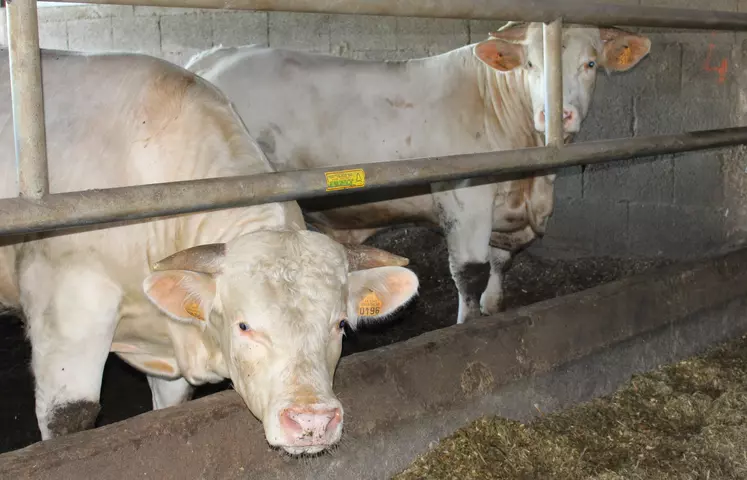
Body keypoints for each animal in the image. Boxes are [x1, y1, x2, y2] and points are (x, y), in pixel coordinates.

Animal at [188, 21, 656, 322]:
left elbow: (501, 262)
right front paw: (469, 324)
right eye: (530, 65)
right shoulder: (465, 198)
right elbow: (468, 273)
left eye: (590, 64)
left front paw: (494, 307)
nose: (557, 114)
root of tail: (212, 57)